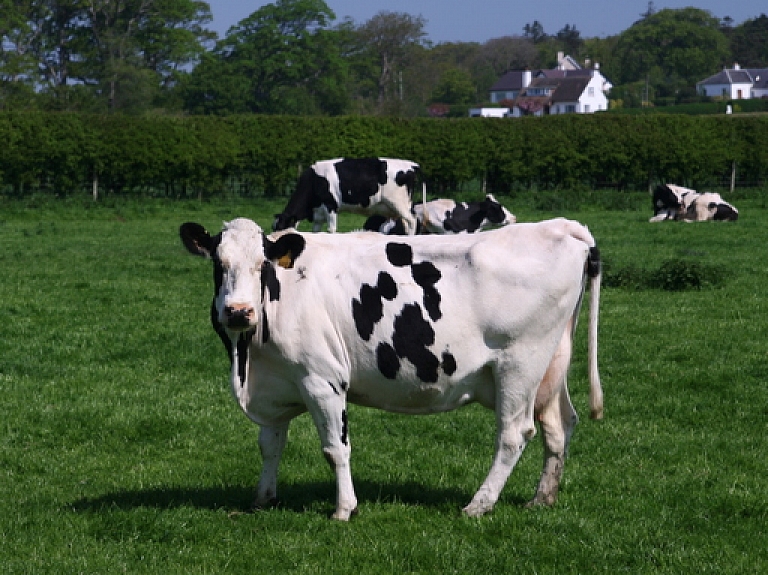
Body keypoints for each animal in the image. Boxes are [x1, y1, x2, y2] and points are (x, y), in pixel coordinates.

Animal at [178, 217, 600, 520]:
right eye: (219, 263)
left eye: (261, 264)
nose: (238, 311)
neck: (248, 361)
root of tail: (558, 225)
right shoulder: (277, 383)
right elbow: (270, 445)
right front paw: (263, 498)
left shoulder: (322, 380)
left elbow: (336, 448)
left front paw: (344, 509)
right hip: (551, 367)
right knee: (559, 424)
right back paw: (542, 498)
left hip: (519, 365)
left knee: (514, 434)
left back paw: (478, 505)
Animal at [274, 158, 424, 234]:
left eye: (280, 228)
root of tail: (411, 165)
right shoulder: (318, 213)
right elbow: (316, 231)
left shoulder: (331, 205)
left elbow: (331, 229)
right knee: (406, 224)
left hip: (399, 203)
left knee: (412, 221)